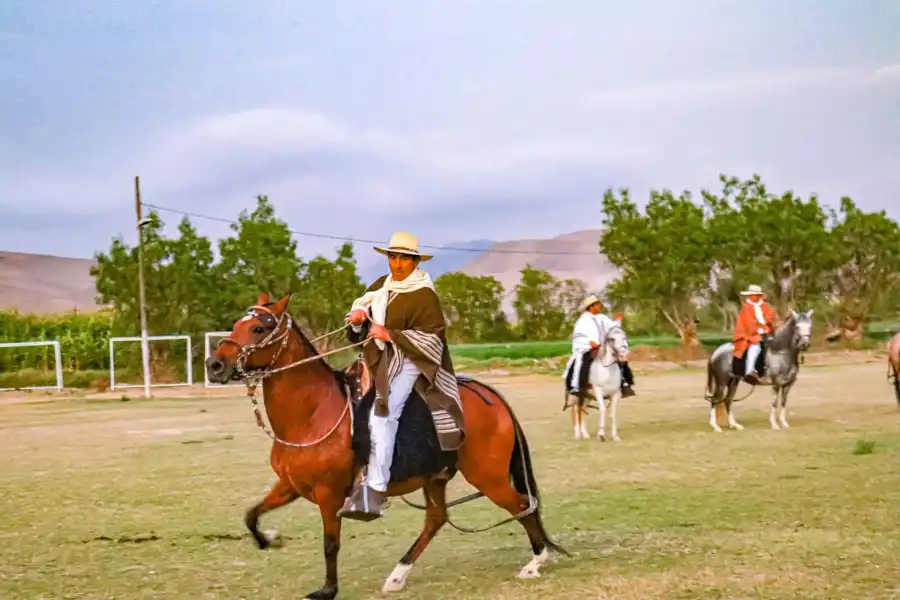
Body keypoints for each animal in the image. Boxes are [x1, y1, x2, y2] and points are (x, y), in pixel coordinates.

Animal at [207, 292, 568, 596]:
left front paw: (328, 590)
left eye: (257, 328)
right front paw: (270, 539)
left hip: (487, 475)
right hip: (437, 477)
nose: (215, 365)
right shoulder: (289, 485)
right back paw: (397, 576)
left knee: (522, 504)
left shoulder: (329, 493)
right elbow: (251, 514)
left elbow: (330, 543)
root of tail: (491, 395)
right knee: (436, 519)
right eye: (237, 324)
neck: (312, 414)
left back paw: (535, 562)